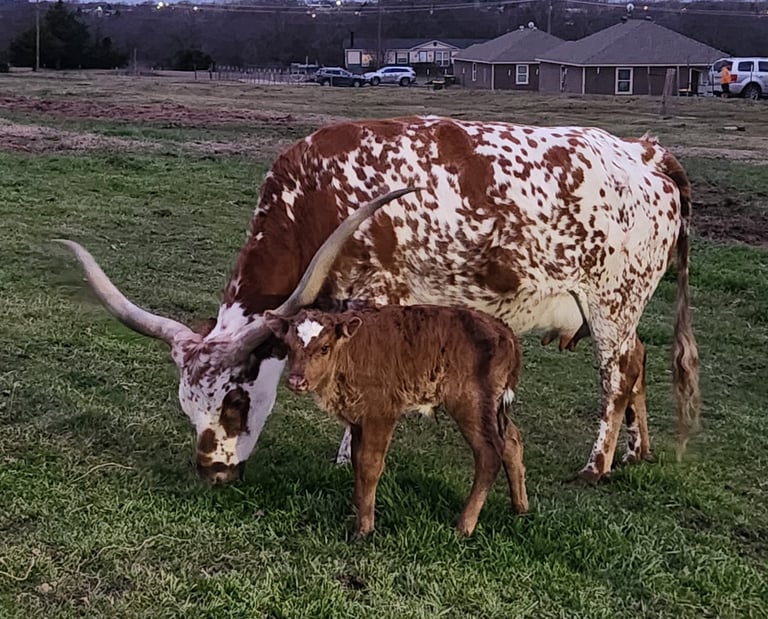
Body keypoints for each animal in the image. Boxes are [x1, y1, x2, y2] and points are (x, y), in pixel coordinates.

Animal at [58, 115, 700, 486]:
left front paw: (350, 456)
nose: (211, 471)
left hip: (612, 301)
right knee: (640, 364)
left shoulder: (380, 296)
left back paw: (597, 466)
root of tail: (645, 153)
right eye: (187, 407)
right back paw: (637, 453)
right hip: (622, 309)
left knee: (618, 375)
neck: (314, 195)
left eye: (238, 400)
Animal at [263, 305, 529, 537]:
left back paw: (464, 526)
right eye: (288, 345)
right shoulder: (357, 418)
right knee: (512, 441)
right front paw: (356, 507)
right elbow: (357, 461)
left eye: (325, 348)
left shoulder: (380, 414)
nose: (296, 380)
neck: (350, 352)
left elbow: (370, 466)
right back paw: (520, 508)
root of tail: (503, 329)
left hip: (471, 404)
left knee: (489, 454)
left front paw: (364, 528)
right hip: (492, 408)